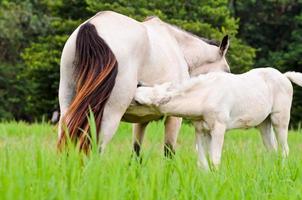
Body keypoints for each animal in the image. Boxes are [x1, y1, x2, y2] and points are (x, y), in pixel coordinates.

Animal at [136, 68, 302, 170]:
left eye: (138, 102)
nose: (136, 87)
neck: (206, 95)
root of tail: (284, 76)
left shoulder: (218, 128)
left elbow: (215, 159)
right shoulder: (201, 130)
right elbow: (202, 162)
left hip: (280, 119)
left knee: (284, 149)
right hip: (264, 123)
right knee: (272, 150)